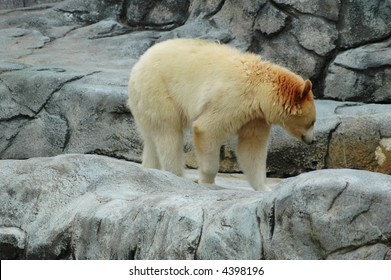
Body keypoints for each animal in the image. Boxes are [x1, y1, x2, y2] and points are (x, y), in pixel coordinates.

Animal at [127, 38, 316, 191]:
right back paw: (177, 175)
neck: (259, 89)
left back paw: (152, 169)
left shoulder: (256, 116)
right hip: (159, 90)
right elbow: (207, 129)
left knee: (151, 137)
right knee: (168, 134)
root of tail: (137, 66)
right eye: (312, 122)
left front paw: (264, 188)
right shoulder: (232, 98)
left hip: (145, 103)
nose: (312, 140)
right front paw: (207, 180)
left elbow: (251, 146)